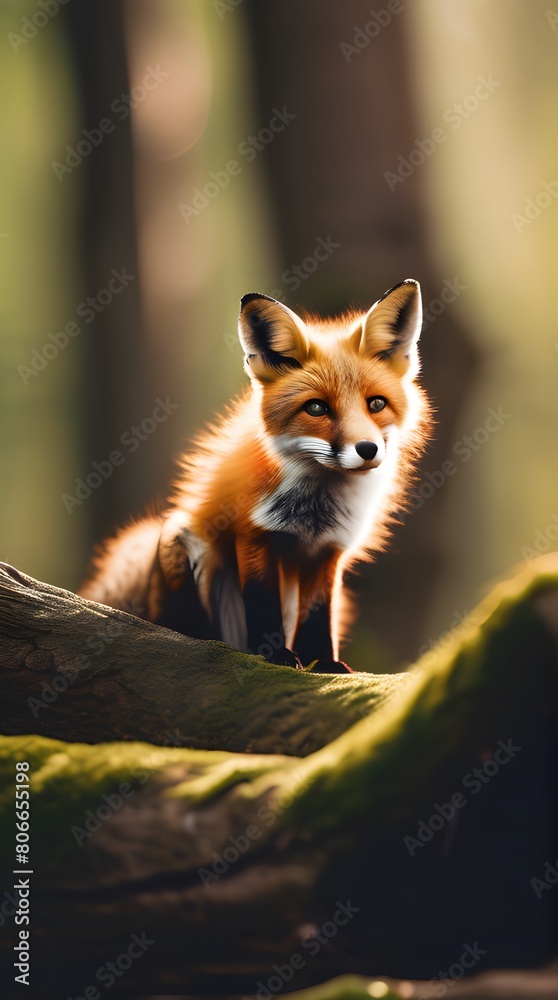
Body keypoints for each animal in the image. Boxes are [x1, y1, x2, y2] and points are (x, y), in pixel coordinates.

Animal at [79, 278, 432, 673]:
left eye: (376, 404)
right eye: (316, 408)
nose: (367, 449)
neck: (316, 511)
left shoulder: (329, 552)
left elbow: (318, 615)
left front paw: (325, 662)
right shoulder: (254, 535)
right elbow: (263, 605)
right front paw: (276, 657)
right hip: (179, 537)